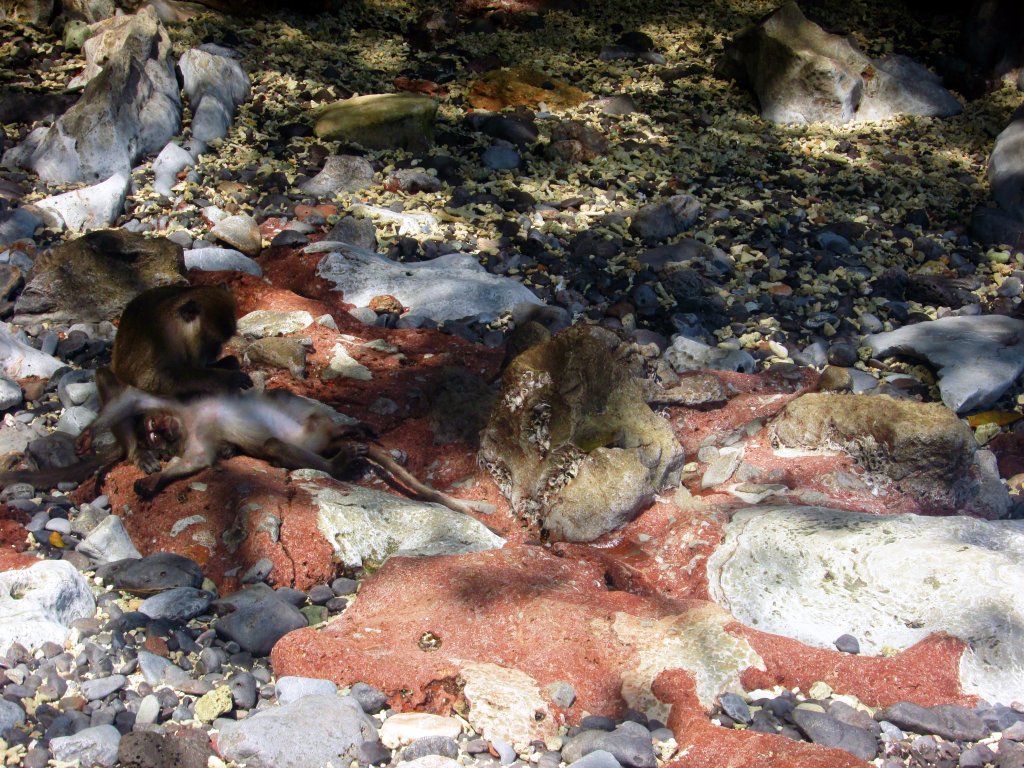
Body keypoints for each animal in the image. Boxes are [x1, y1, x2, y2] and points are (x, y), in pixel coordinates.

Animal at [80, 385, 494, 518]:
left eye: (158, 432)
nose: (163, 434)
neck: (186, 420)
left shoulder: (180, 405)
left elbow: (134, 398)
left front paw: (87, 435)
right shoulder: (194, 437)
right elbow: (196, 460)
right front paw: (155, 477)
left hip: (309, 426)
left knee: (288, 408)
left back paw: (346, 441)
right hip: (308, 437)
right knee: (276, 445)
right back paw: (341, 456)